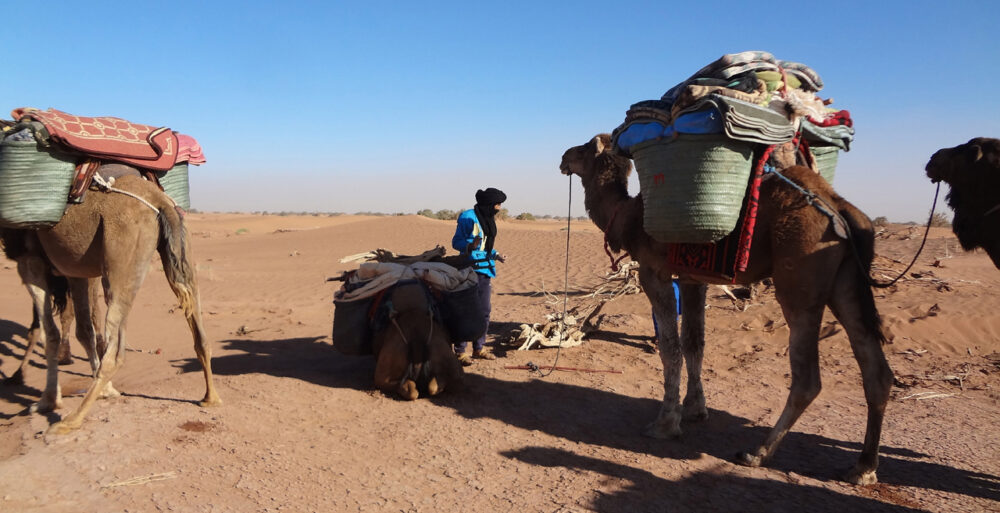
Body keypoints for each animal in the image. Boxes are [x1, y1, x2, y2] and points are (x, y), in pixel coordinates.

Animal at [17, 173, 221, 432]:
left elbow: (49, 332)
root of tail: (160, 200)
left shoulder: (29, 256)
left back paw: (71, 420)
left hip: (122, 252)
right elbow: (82, 329)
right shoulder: (74, 269)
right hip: (178, 252)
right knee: (198, 330)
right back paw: (210, 397)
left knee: (115, 349)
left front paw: (47, 400)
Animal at [560, 133, 896, 484]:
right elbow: (694, 343)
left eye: (585, 147)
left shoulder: (655, 273)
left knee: (808, 378)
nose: (563, 158)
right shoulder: (693, 278)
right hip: (847, 283)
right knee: (876, 371)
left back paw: (757, 453)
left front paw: (665, 424)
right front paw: (695, 410)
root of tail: (840, 210)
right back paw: (863, 467)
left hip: (799, 280)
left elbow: (670, 349)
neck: (630, 217)